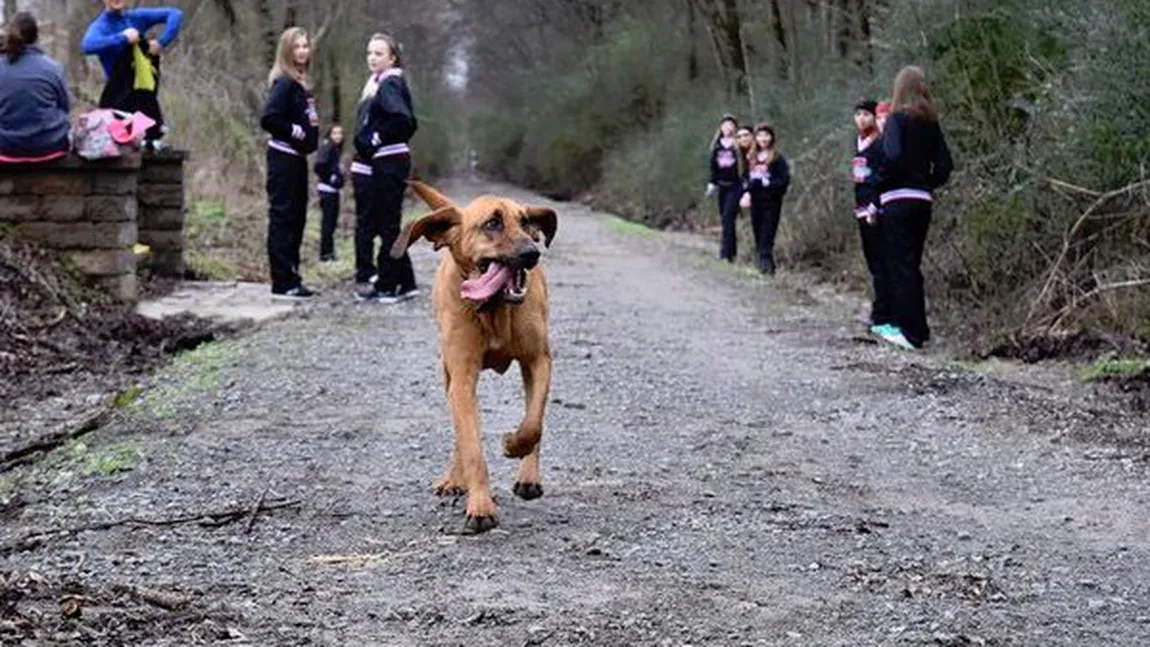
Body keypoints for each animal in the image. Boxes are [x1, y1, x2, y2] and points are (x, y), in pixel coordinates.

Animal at [393, 179, 558, 533]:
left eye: (526, 221)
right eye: (492, 223)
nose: (532, 253)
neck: (494, 309)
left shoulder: (538, 361)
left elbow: (533, 424)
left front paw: (513, 444)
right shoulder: (462, 376)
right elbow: (471, 446)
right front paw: (480, 505)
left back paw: (528, 478)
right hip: (448, 376)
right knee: (460, 431)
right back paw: (455, 480)